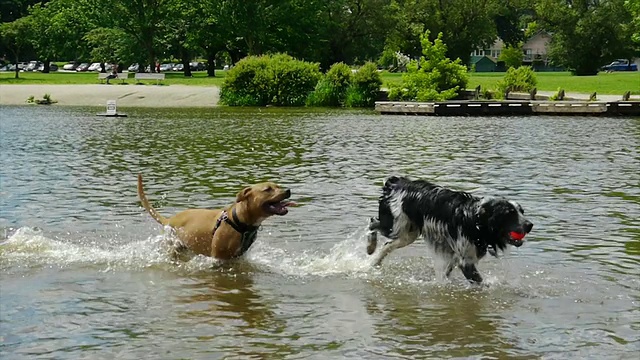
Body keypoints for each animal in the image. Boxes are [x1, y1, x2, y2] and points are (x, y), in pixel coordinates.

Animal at [139, 174, 294, 258]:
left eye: (278, 186)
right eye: (267, 189)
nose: (288, 190)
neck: (239, 220)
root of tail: (170, 219)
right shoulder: (218, 257)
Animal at [368, 176, 532, 282]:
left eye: (521, 211)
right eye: (509, 213)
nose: (530, 225)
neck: (476, 220)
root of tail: (396, 182)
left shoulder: (455, 258)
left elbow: (445, 274)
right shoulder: (465, 262)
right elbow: (481, 283)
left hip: (408, 234)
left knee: (386, 244)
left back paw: (374, 260)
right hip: (395, 226)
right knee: (372, 223)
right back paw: (370, 247)